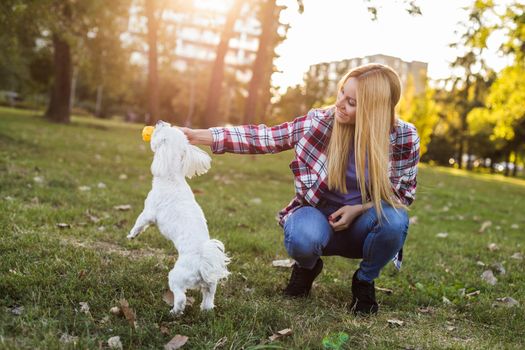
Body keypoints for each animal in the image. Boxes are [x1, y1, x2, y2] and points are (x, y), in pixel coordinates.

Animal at [127, 121, 229, 316]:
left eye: (161, 131)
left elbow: (140, 222)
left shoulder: (149, 211)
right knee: (209, 296)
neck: (171, 177)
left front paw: (132, 235)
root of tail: (202, 262)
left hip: (177, 277)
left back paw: (173, 312)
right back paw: (205, 310)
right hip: (210, 285)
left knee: (180, 298)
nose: (160, 122)